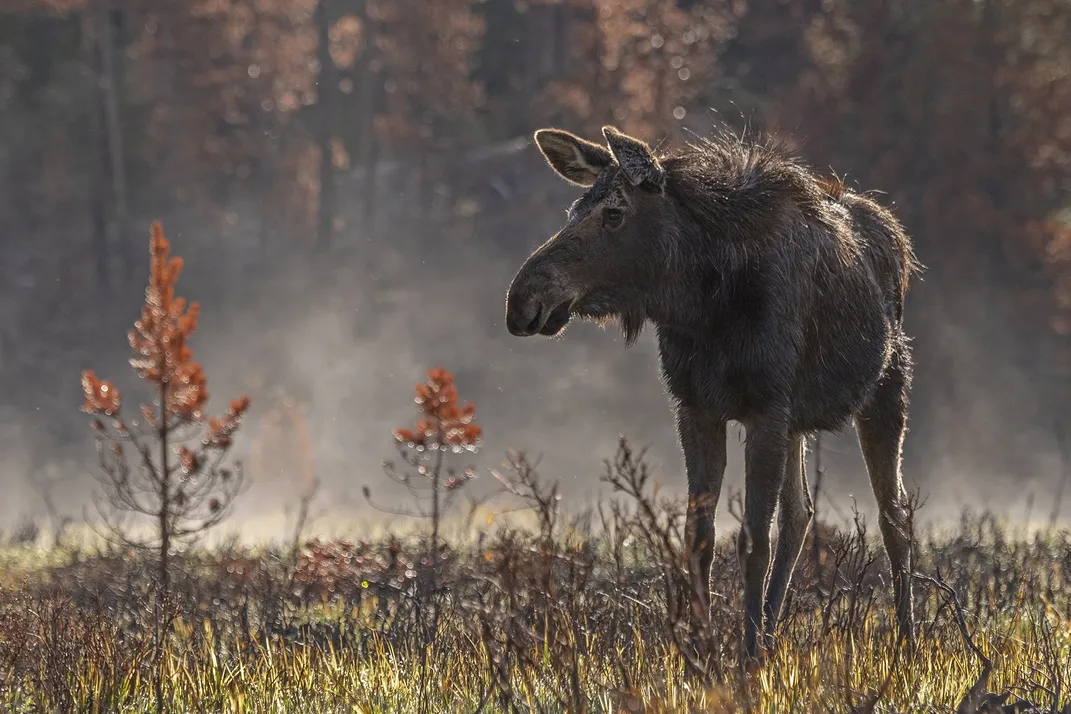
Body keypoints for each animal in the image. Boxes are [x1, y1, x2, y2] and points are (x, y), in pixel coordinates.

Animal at [503, 124, 921, 663]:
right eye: (574, 209)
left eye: (614, 212)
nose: (522, 300)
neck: (701, 304)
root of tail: (898, 238)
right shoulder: (697, 407)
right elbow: (699, 536)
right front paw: (703, 653)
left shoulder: (766, 407)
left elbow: (752, 539)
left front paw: (746, 658)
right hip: (798, 422)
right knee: (801, 513)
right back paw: (773, 633)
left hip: (886, 389)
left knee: (895, 516)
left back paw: (907, 642)